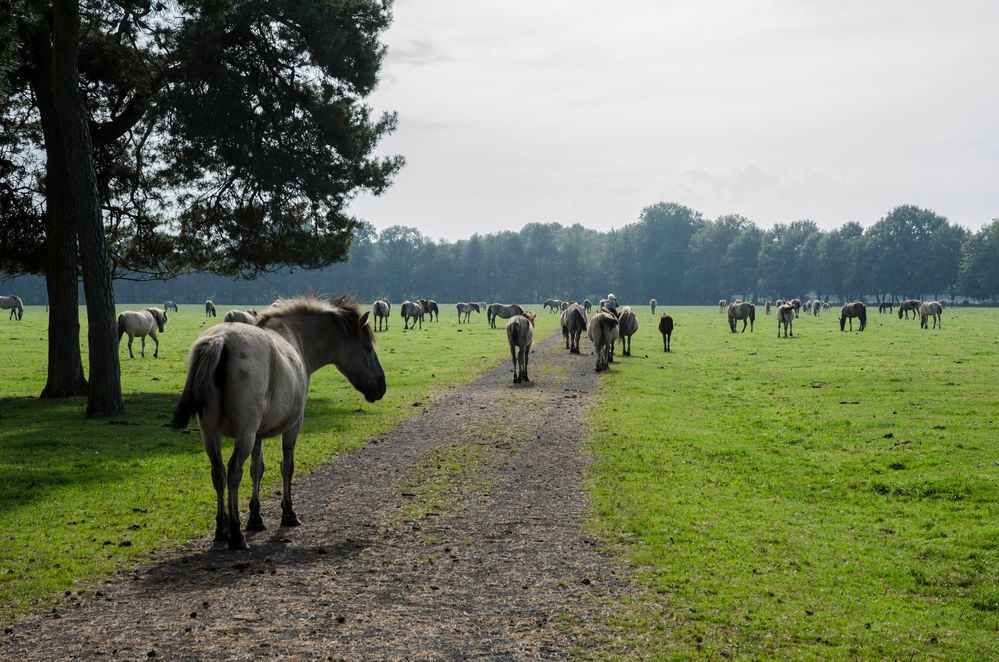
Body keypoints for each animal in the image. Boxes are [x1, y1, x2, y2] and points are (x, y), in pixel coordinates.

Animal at [172, 298, 382, 552]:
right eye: (368, 348)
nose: (381, 386)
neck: (295, 338)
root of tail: (221, 340)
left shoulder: (258, 435)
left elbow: (257, 469)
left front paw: (255, 518)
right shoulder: (292, 426)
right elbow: (287, 466)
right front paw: (288, 513)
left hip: (210, 431)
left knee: (218, 472)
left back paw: (221, 529)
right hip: (244, 431)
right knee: (233, 470)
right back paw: (235, 534)